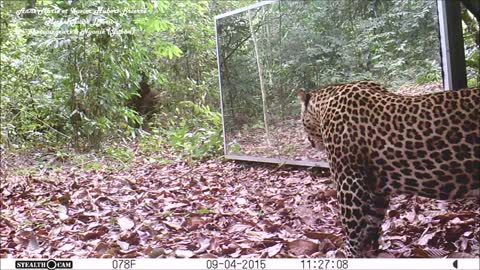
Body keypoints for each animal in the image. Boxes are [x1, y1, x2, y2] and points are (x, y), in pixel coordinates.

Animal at [298, 81, 478, 258]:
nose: (310, 141)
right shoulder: (377, 190)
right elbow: (370, 226)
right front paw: (369, 253)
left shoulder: (350, 182)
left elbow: (353, 231)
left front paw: (350, 254)